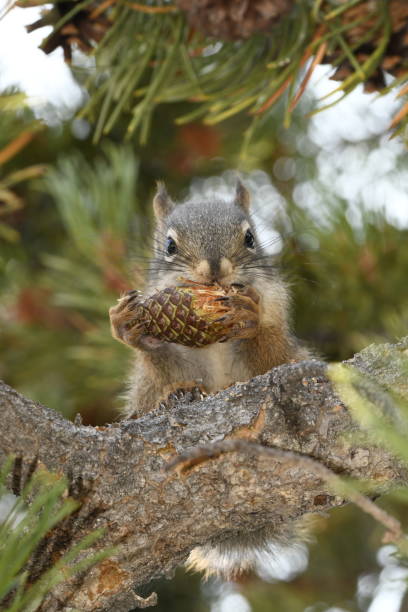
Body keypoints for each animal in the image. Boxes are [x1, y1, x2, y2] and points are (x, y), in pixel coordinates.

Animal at [108, 180, 310, 580]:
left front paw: (250, 317)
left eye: (250, 238)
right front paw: (128, 326)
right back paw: (178, 397)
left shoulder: (279, 329)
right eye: (169, 246)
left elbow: (269, 350)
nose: (215, 268)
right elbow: (162, 363)